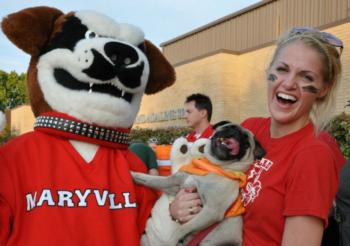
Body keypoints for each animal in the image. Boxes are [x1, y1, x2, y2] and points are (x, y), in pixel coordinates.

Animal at [132, 123, 266, 246]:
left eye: (246, 141)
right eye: (229, 126)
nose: (236, 132)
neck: (212, 166)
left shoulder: (211, 211)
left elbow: (182, 229)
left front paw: (172, 238)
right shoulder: (174, 184)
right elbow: (152, 180)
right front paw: (134, 175)